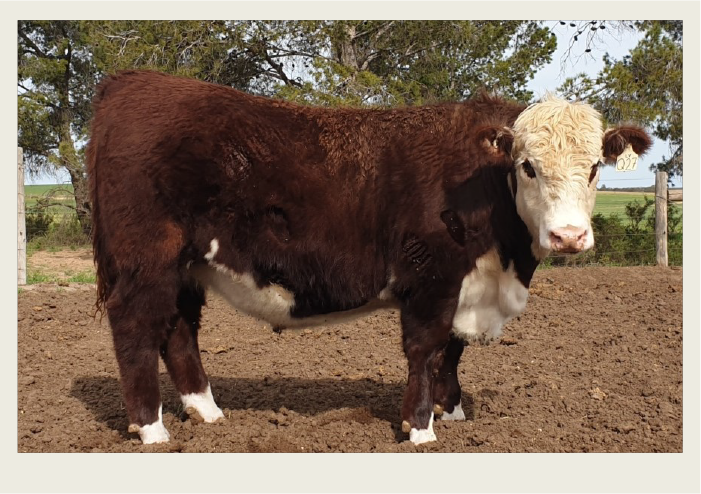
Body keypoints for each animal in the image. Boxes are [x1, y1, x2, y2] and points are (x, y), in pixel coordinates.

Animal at [86, 70, 651, 445]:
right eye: (528, 166)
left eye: (596, 167)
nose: (569, 236)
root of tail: (135, 81)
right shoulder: (432, 279)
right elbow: (426, 349)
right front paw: (420, 428)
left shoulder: (466, 286)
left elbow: (452, 351)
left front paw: (452, 412)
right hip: (147, 261)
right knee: (136, 327)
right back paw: (152, 428)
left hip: (185, 267)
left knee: (179, 329)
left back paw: (207, 413)